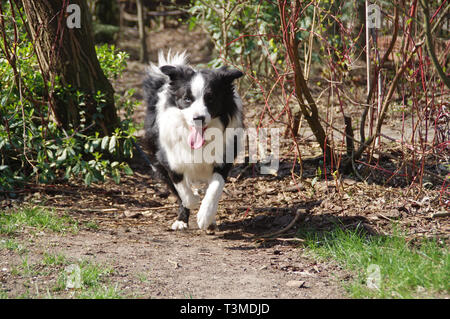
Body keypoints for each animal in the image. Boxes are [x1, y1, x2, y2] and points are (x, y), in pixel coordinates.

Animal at [143, 51, 243, 231]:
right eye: (187, 99)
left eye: (211, 99)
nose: (198, 118)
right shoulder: (168, 158)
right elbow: (182, 189)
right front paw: (193, 202)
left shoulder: (224, 156)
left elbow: (215, 187)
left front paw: (205, 216)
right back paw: (182, 219)